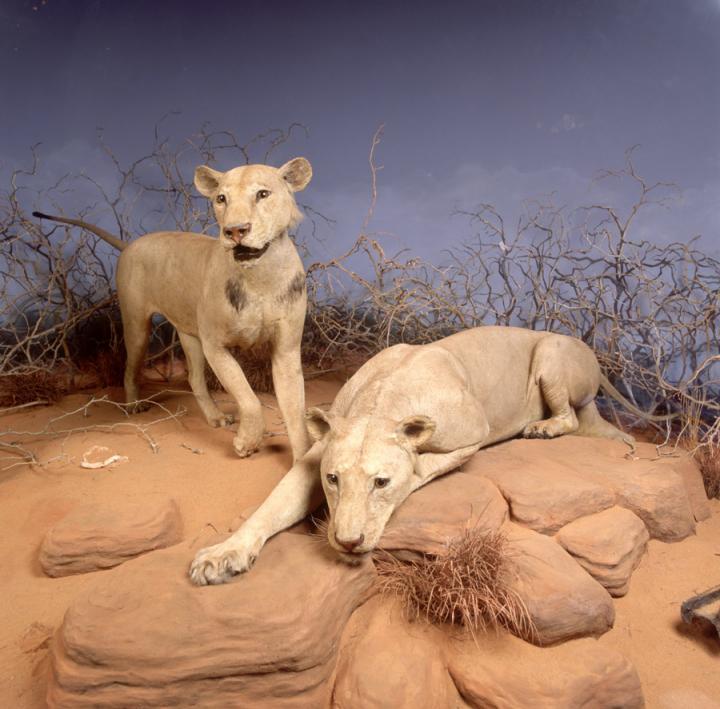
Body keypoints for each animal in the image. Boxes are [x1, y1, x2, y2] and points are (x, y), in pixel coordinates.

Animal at [34, 158, 313, 460]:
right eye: (221, 199)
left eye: (262, 194)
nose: (235, 231)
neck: (261, 277)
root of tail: (131, 244)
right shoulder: (215, 345)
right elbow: (248, 397)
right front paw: (247, 442)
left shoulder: (286, 349)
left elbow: (295, 410)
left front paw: (303, 461)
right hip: (137, 325)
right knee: (130, 369)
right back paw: (133, 407)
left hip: (189, 335)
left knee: (194, 377)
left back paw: (215, 417)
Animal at [189, 326, 659, 585]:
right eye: (333, 480)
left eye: (381, 483)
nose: (348, 541)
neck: (380, 403)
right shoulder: (317, 455)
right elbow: (271, 506)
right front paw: (222, 556)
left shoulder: (473, 431)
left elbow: (421, 465)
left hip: (550, 353)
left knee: (572, 417)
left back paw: (541, 427)